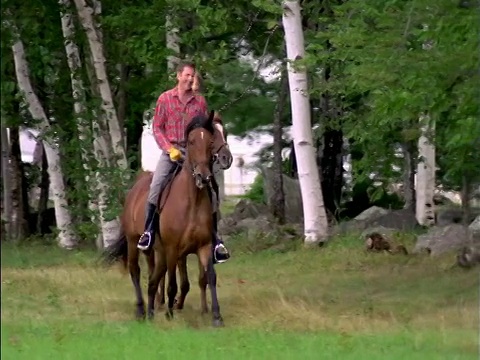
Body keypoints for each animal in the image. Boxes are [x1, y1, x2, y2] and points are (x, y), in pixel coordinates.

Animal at [102, 110, 231, 326]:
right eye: (191, 142)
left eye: (211, 139)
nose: (203, 175)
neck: (191, 200)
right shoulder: (173, 249)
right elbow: (173, 283)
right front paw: (170, 313)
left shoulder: (203, 246)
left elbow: (209, 278)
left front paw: (216, 316)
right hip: (134, 241)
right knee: (136, 270)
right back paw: (141, 309)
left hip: (158, 250)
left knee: (154, 276)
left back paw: (153, 309)